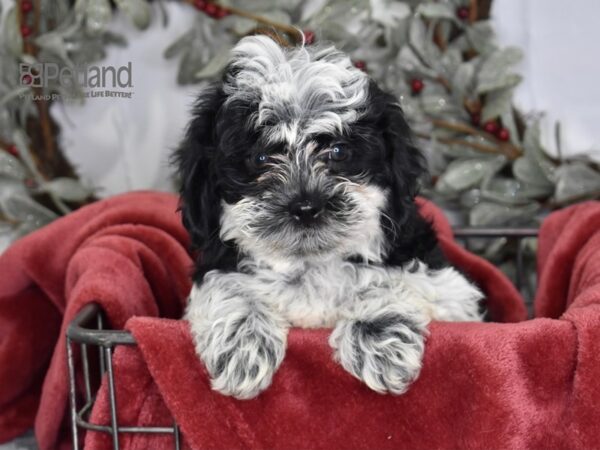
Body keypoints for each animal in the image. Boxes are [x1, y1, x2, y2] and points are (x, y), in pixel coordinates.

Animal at [173, 36, 482, 400]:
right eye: (260, 158)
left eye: (338, 152)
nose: (306, 206)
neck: (310, 265)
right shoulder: (216, 266)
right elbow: (228, 286)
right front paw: (242, 348)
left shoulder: (452, 293)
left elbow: (384, 279)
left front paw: (379, 340)